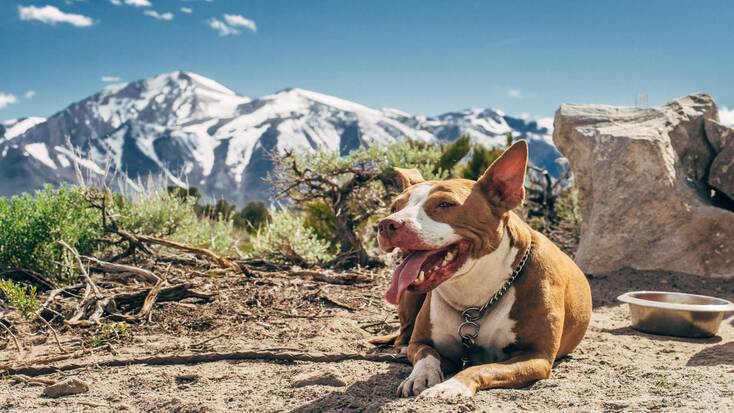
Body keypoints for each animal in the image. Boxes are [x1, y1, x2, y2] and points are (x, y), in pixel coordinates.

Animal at [376, 140, 596, 398]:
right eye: (394, 207)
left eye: (445, 204)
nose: (386, 224)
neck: (473, 294)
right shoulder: (422, 343)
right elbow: (426, 356)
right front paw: (420, 376)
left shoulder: (535, 357)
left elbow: (480, 368)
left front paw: (451, 385)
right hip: (409, 297)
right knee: (403, 334)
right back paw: (400, 348)